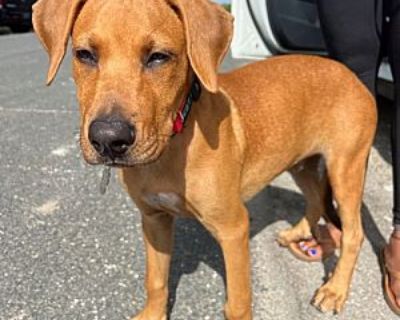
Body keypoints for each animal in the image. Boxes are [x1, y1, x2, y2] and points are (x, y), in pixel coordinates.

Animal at [32, 0, 376, 318]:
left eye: (159, 57)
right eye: (85, 55)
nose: (108, 139)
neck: (173, 142)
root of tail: (350, 74)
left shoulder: (234, 228)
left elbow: (238, 303)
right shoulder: (153, 219)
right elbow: (156, 281)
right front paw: (153, 313)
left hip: (346, 167)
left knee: (354, 233)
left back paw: (334, 290)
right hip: (300, 162)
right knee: (315, 200)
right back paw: (296, 234)